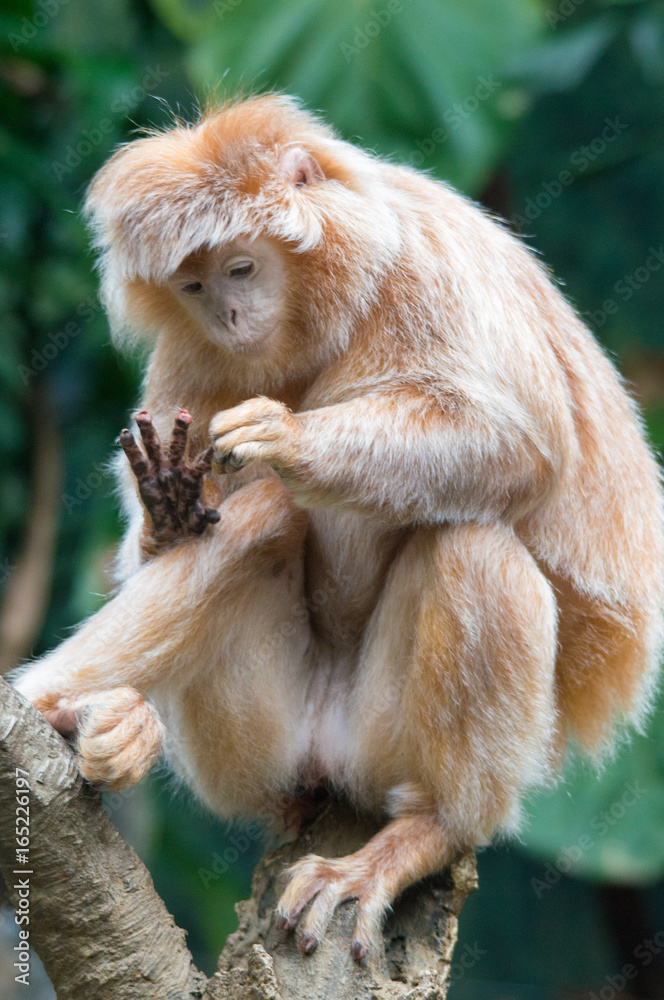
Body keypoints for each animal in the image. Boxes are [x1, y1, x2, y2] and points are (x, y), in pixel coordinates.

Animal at [14, 95, 664, 960]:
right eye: (194, 283)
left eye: (243, 268)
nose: (228, 313)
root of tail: (325, 761)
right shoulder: (190, 364)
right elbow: (147, 548)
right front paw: (168, 510)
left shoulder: (430, 265)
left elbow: (520, 447)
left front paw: (285, 437)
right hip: (254, 749)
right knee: (262, 518)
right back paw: (71, 715)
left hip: (383, 742)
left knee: (466, 543)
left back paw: (423, 833)